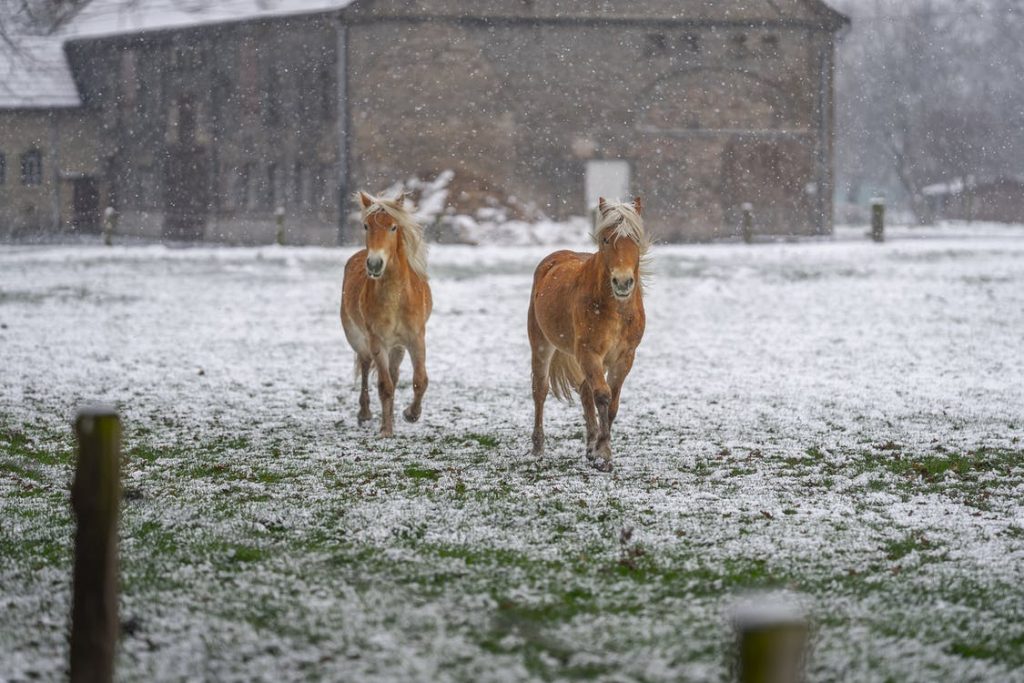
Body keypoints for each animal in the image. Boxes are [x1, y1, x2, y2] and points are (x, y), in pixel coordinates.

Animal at [337, 191, 430, 438]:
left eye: (393, 227)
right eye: (366, 226)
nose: (374, 264)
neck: (395, 297)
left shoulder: (416, 339)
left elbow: (420, 381)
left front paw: (410, 414)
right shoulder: (377, 341)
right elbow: (384, 386)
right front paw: (386, 431)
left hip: (397, 347)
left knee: (394, 375)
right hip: (360, 340)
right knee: (366, 367)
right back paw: (365, 414)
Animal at [528, 194, 647, 466]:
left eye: (635, 239)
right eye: (606, 239)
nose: (622, 282)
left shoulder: (624, 357)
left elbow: (611, 402)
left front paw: (598, 450)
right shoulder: (589, 352)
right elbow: (602, 395)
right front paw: (603, 452)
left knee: (584, 391)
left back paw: (589, 445)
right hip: (541, 345)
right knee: (540, 391)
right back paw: (538, 447)